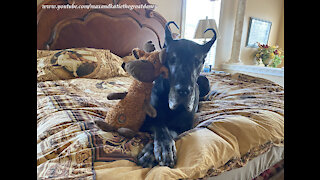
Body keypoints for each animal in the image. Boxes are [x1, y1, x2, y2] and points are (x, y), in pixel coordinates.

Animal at [138, 21, 218, 168]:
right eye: (171, 58)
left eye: (198, 61)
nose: (183, 91)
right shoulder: (145, 120)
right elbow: (160, 126)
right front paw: (161, 147)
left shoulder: (184, 125)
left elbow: (170, 131)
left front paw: (153, 151)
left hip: (205, 81)